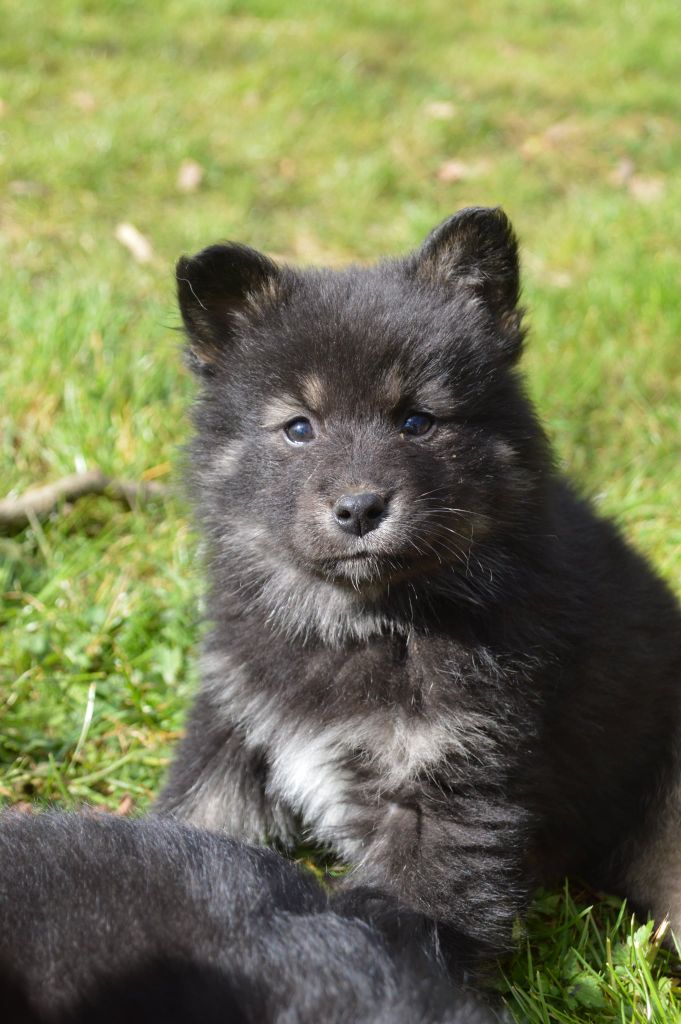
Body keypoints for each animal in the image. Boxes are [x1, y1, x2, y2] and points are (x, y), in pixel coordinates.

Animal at [156, 209, 679, 958]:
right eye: (298, 427)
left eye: (416, 420)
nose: (359, 508)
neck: (360, 626)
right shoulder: (233, 729)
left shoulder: (445, 794)